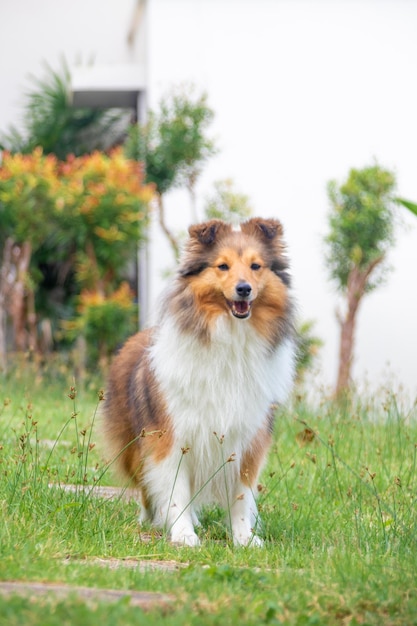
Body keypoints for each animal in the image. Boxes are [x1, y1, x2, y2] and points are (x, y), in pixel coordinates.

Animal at [103, 217, 296, 544]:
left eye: (256, 266)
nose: (244, 289)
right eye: (222, 266)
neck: (231, 342)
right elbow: (176, 489)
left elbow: (241, 495)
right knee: (145, 486)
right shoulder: (171, 436)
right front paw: (183, 536)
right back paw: (150, 520)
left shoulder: (248, 439)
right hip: (132, 444)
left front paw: (244, 539)